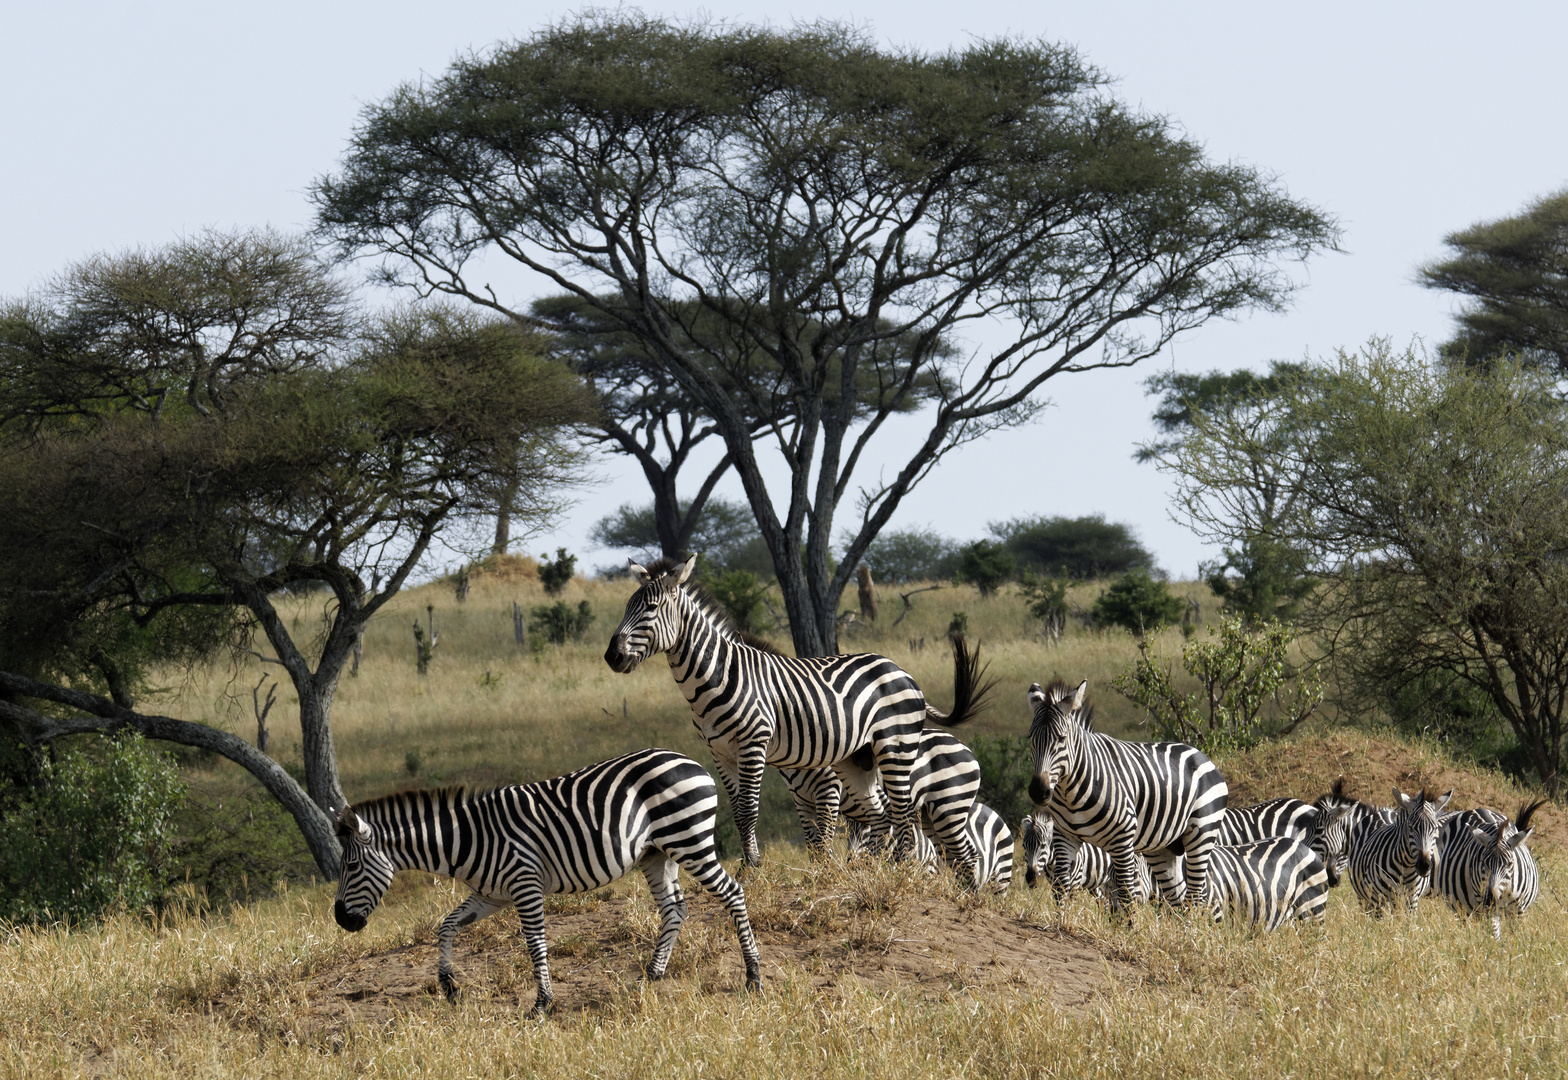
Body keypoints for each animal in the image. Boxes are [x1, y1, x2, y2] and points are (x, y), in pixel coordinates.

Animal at [332, 746, 765, 1015]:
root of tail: (692, 762)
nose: (341, 920)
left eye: (350, 867)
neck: (469, 839)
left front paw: (542, 1004)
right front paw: (449, 987)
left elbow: (535, 945)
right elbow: (447, 926)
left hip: (689, 841)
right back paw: (652, 974)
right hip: (657, 853)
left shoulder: (525, 886)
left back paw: (753, 976)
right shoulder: (491, 895)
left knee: (733, 893)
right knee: (674, 908)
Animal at [602, 554, 990, 865]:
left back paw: (901, 869)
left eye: (651, 609)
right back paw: (879, 869)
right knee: (882, 815)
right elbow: (740, 814)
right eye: (626, 607)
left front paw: (754, 869)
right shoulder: (720, 752)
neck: (717, 675)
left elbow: (750, 811)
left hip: (896, 747)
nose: (612, 656)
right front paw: (750, 868)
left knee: (904, 812)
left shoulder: (754, 745)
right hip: (857, 758)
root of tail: (901, 670)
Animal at [1022, 677, 1229, 915]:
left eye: (1061, 739)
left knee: (1195, 896)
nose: (1039, 791)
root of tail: (1202, 755)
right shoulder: (1065, 835)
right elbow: (1061, 888)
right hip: (1163, 847)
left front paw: (1128, 924)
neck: (1070, 793)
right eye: (1030, 738)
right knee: (1177, 898)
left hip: (1202, 834)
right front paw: (1060, 920)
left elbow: (1126, 894)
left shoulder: (1123, 839)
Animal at [1436, 796, 1542, 940]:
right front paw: (1492, 946)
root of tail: (1477, 809)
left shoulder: (1518, 910)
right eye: (1484, 863)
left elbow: (1515, 936)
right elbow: (1494, 936)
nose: (1491, 900)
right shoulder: (1488, 909)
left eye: (1509, 864)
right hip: (1461, 907)